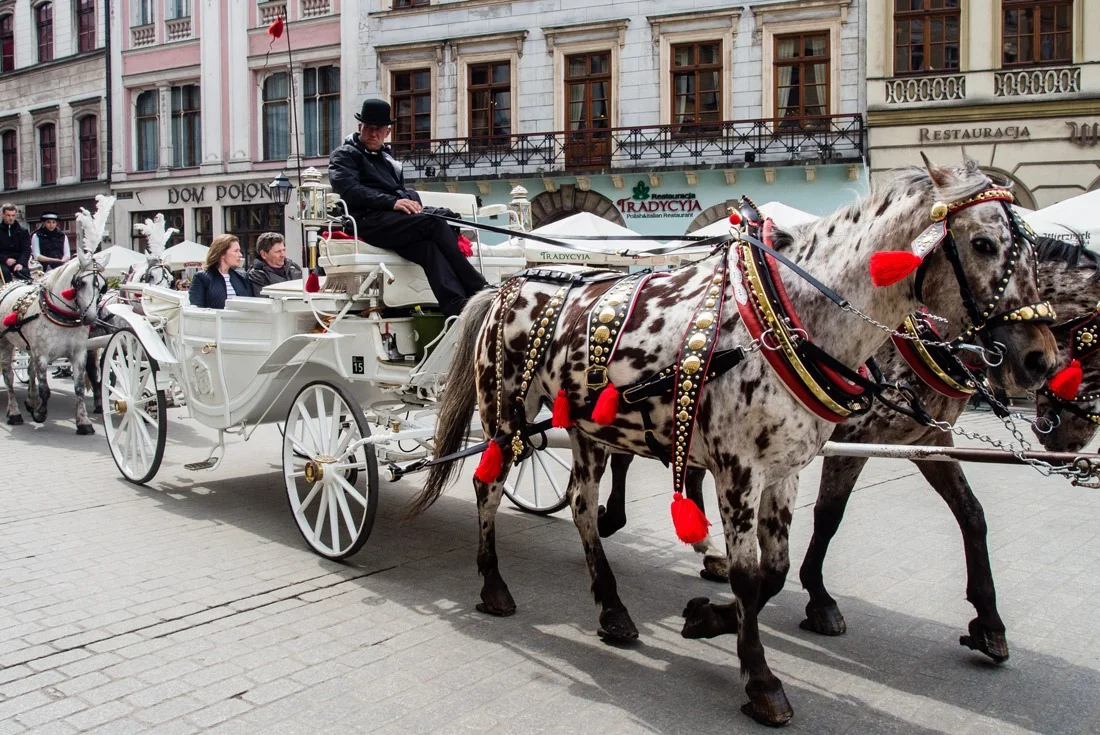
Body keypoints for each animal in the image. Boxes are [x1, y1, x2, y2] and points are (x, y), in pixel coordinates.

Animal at [407, 158, 1056, 726]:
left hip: (588, 429)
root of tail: (509, 285)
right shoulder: (738, 469)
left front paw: (707, 618)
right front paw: (760, 680)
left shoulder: (790, 467)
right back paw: (494, 586)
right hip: (507, 414)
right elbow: (751, 574)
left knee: (583, 509)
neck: (791, 317)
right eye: (982, 244)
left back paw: (612, 609)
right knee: (489, 487)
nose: (1039, 360)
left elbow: (776, 569)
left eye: (1036, 252)